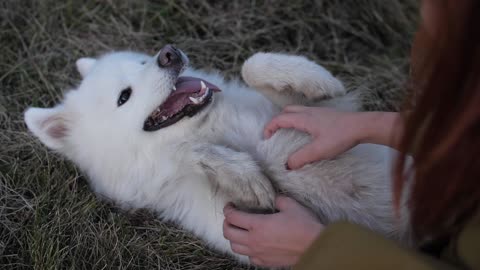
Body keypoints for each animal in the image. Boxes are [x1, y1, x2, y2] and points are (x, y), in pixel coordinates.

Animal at [24, 44, 410, 264]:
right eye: (124, 96)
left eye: (141, 61)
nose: (169, 53)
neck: (215, 126)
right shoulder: (233, 220)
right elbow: (190, 153)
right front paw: (244, 174)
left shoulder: (322, 117)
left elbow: (252, 65)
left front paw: (315, 77)